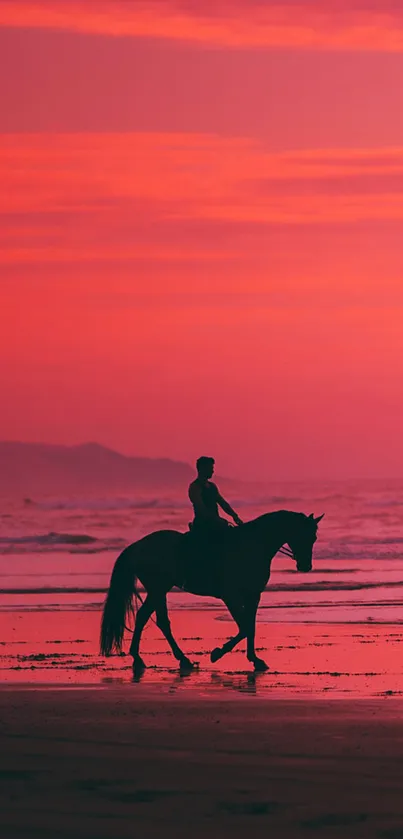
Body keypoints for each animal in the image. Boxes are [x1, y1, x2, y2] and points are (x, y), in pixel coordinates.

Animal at [101, 508, 326, 672]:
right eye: (303, 535)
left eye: (314, 538)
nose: (305, 566)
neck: (252, 545)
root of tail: (137, 546)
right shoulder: (230, 596)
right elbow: (244, 627)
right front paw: (217, 653)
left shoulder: (253, 595)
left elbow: (250, 627)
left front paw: (255, 659)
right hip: (158, 588)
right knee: (159, 620)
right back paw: (176, 659)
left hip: (158, 589)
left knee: (144, 617)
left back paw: (145, 659)